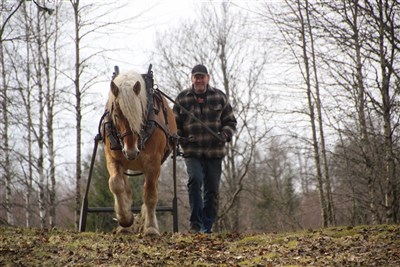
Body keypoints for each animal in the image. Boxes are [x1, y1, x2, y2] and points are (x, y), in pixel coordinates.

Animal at [103, 69, 177, 237]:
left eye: (140, 115)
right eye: (116, 116)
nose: (131, 151)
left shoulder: (153, 163)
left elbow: (150, 194)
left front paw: (150, 228)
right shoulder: (112, 158)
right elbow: (116, 184)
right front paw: (125, 219)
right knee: (126, 188)